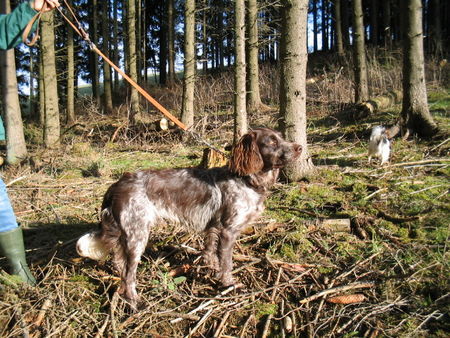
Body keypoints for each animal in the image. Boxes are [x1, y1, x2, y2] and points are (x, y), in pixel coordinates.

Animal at [76, 127, 302, 308]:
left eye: (281, 137)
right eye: (271, 141)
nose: (299, 147)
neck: (246, 179)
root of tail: (117, 184)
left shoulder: (214, 227)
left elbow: (210, 251)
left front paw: (211, 268)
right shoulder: (228, 230)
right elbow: (226, 263)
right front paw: (228, 284)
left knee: (119, 262)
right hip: (137, 235)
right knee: (128, 275)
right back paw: (134, 301)